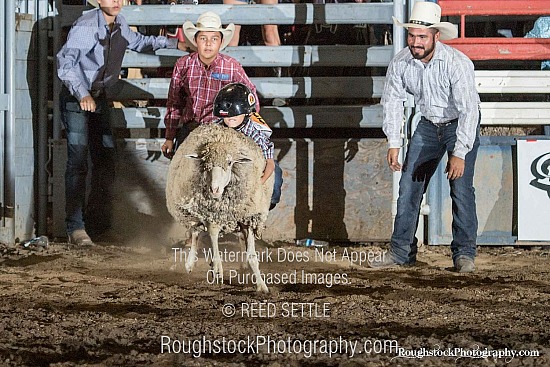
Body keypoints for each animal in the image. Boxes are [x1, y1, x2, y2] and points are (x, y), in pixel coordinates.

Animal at [166, 123, 274, 294]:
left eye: (230, 163)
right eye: (205, 164)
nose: (214, 189)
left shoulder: (247, 217)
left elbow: (252, 255)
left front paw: (261, 285)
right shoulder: (212, 216)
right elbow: (213, 237)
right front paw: (217, 269)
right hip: (195, 210)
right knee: (195, 232)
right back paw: (192, 263)